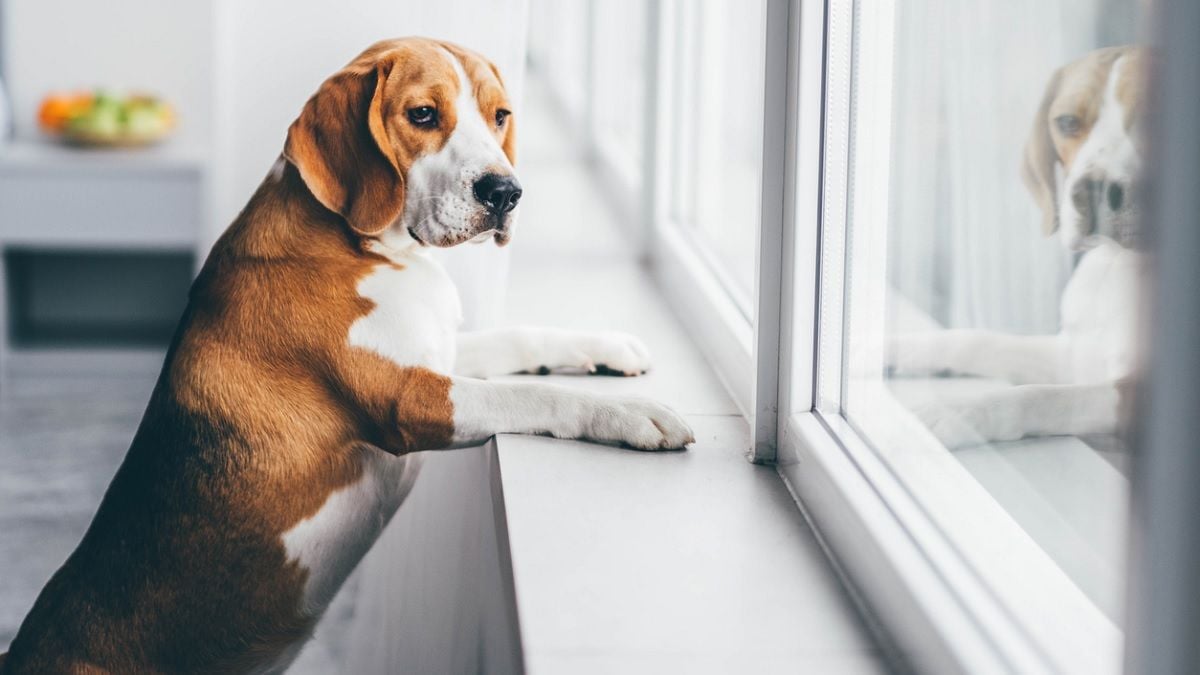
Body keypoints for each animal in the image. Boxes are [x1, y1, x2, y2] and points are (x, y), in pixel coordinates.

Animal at [0, 38, 696, 672]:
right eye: (423, 114)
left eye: (500, 115)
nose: (505, 192)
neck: (372, 247)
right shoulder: (412, 401)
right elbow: (530, 394)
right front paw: (635, 415)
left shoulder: (438, 353)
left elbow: (522, 338)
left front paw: (607, 346)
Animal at [888, 45, 1147, 446]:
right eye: (1068, 122)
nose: (1092, 191)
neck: (1120, 268)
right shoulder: (1073, 355)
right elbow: (975, 341)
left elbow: (1043, 397)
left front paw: (958, 412)